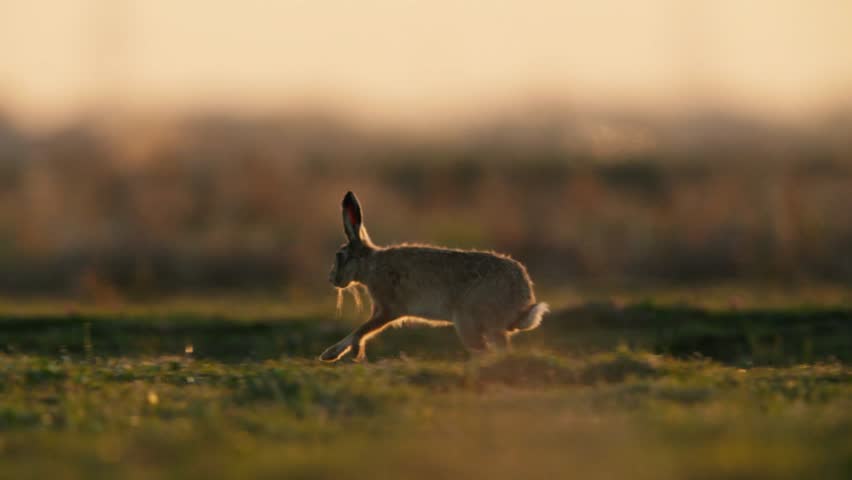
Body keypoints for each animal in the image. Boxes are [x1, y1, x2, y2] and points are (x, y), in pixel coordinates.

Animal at [320, 191, 549, 362]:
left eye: (339, 256)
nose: (332, 279)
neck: (369, 265)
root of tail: (523, 299)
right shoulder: (380, 309)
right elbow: (358, 331)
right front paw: (335, 354)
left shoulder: (388, 309)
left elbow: (362, 330)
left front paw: (346, 353)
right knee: (500, 348)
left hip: (468, 319)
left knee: (487, 350)